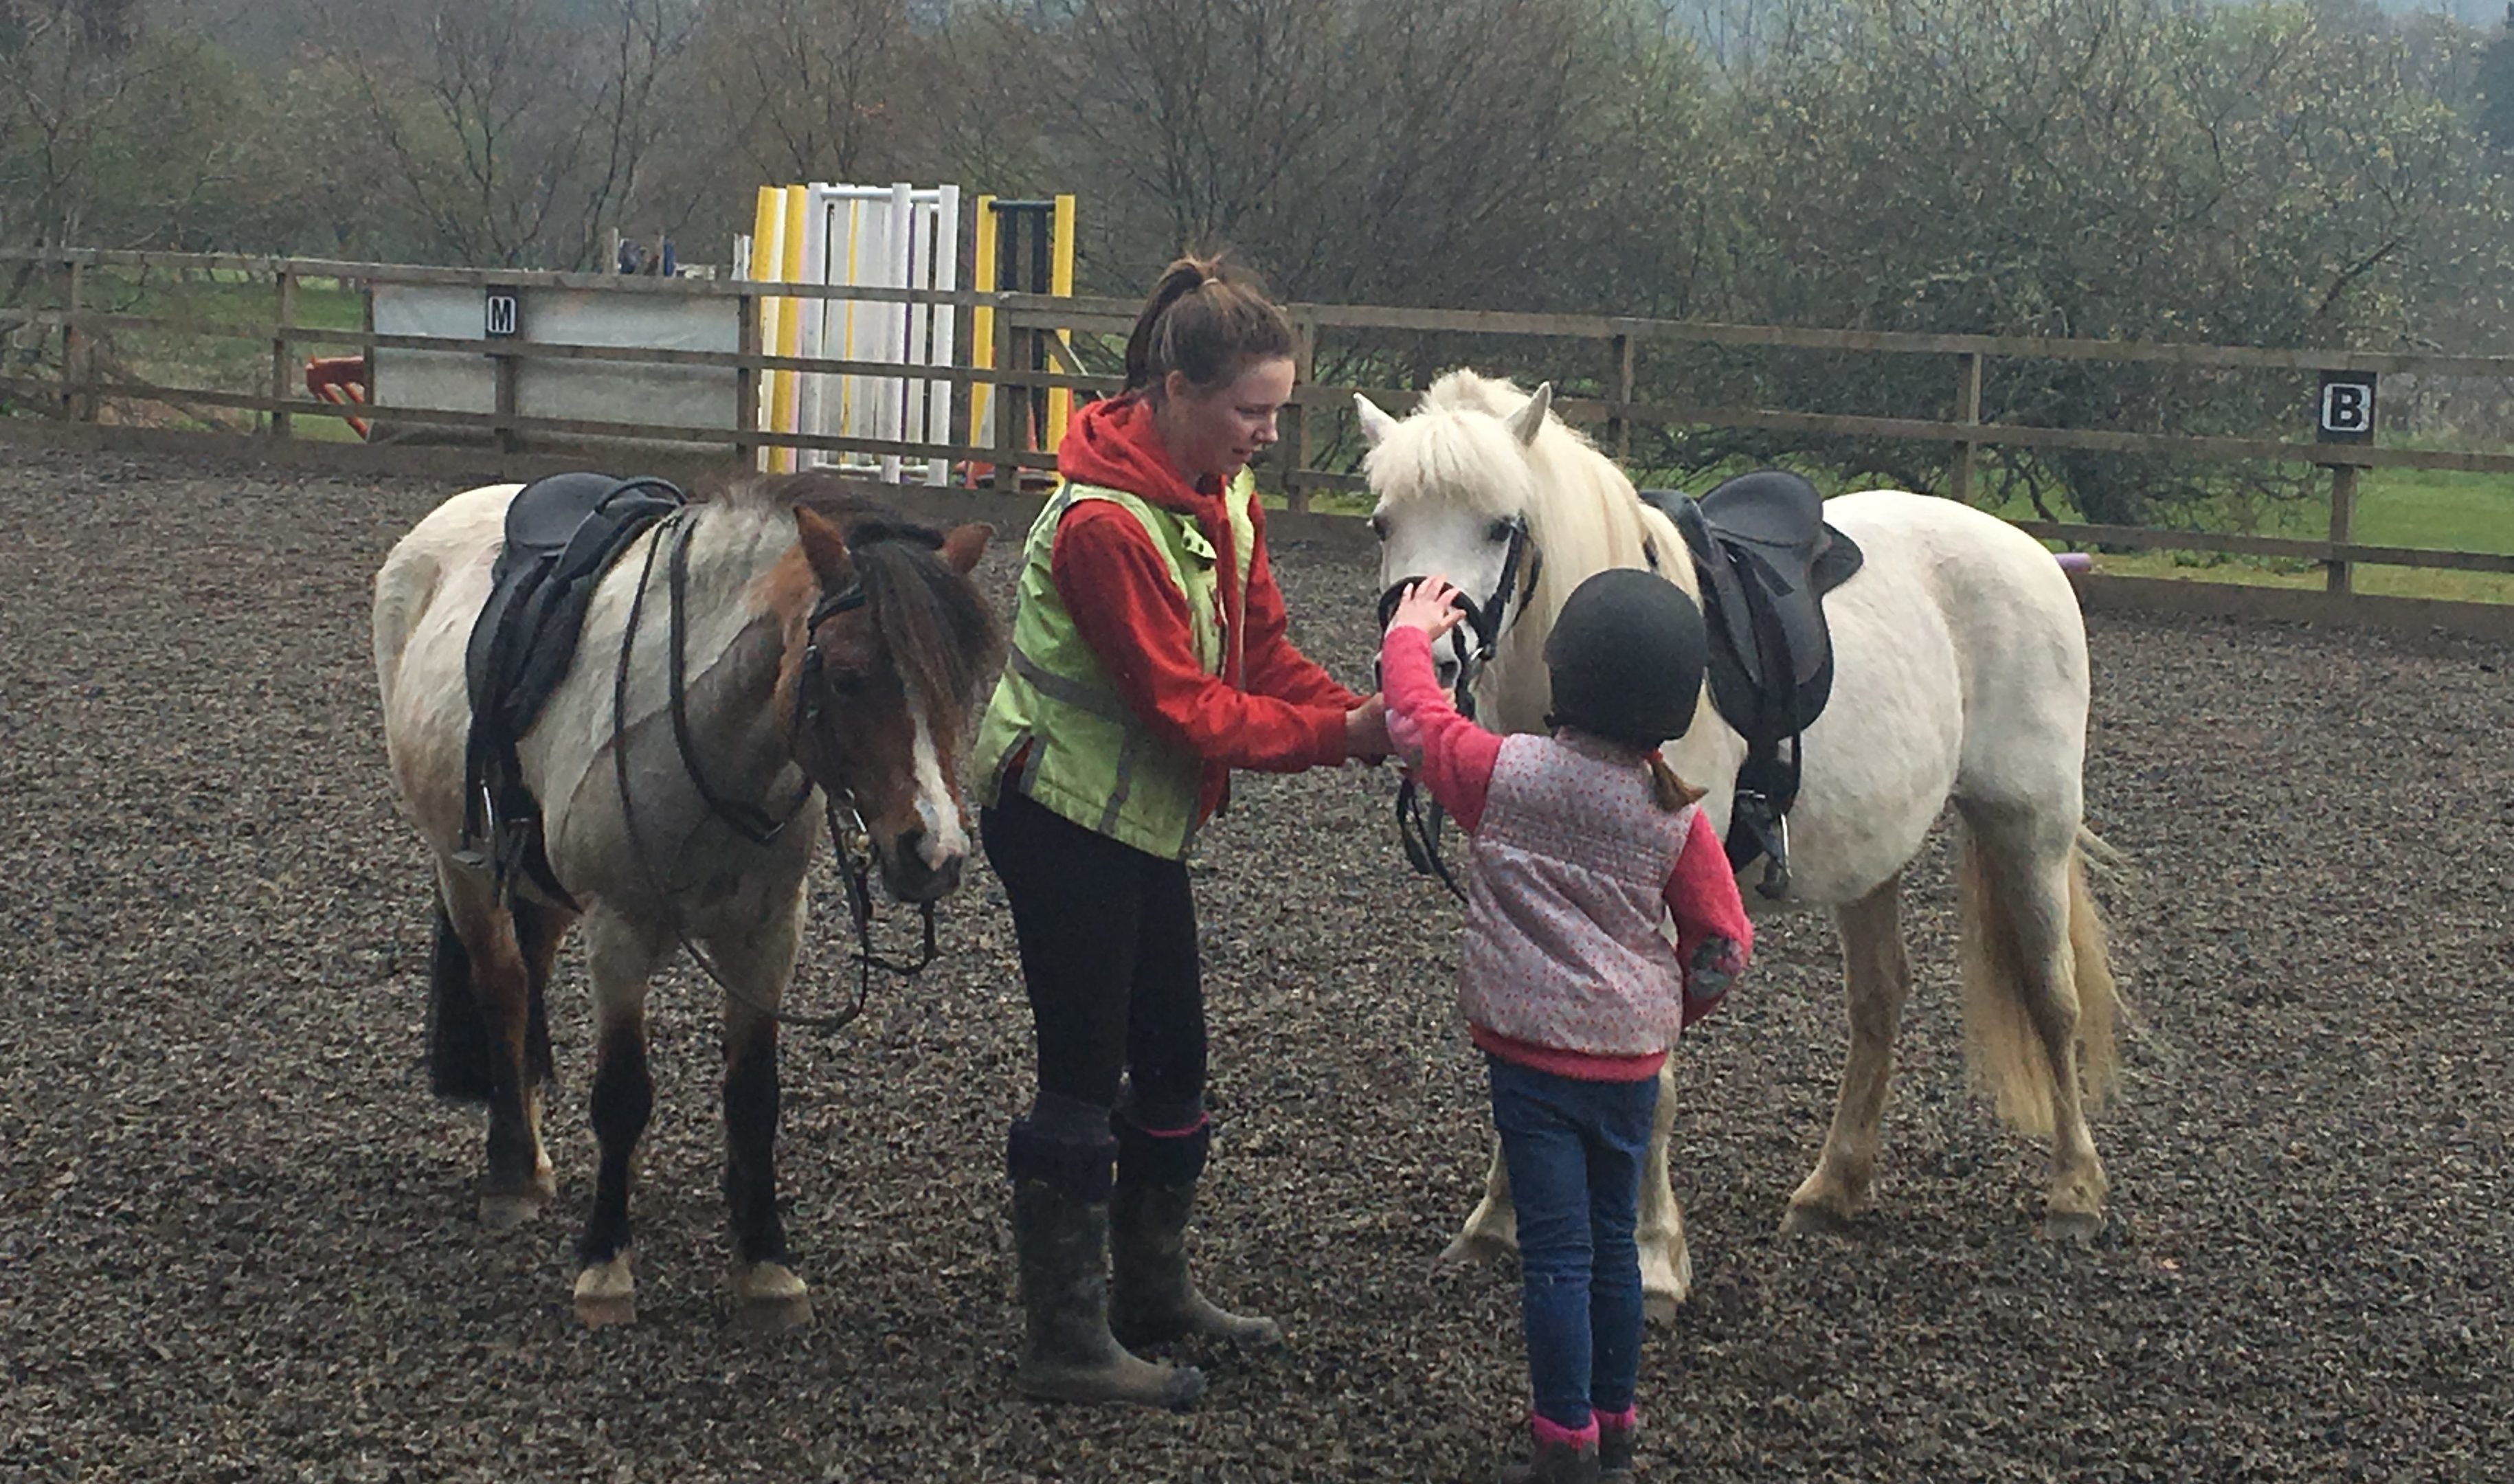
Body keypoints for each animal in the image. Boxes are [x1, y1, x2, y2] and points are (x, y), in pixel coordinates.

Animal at [372, 473, 1000, 1328]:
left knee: (528, 980)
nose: (933, 853)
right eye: (845, 677)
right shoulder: (619, 932)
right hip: (459, 868)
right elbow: (621, 1095)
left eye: (961, 687)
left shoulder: (769, 934)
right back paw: (510, 1173)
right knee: (502, 989)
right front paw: (605, 1266)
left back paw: (536, 1154)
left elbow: (754, 1096)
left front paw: (764, 1264)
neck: (706, 730)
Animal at [1357, 370, 2122, 1318]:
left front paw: (1653, 1262)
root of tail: (2027, 554)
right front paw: (1496, 1225)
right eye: (1382, 523)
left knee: (2054, 1001)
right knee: (1880, 1002)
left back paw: (2075, 1192)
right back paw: (1833, 1189)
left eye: (1502, 525)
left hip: (2028, 826)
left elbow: (1650, 1085)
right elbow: (1521, 1054)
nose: (1424, 661)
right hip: (1875, 854)